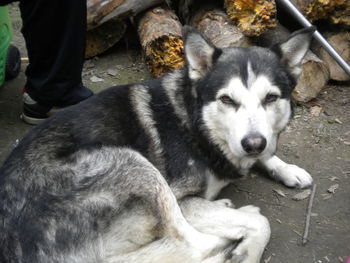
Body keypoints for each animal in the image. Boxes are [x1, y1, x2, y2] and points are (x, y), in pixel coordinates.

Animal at [1, 27, 314, 263]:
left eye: (271, 98)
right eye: (227, 99)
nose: (253, 144)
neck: (196, 124)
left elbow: (267, 152)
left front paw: (287, 168)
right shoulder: (181, 195)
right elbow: (262, 224)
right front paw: (249, 251)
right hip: (136, 166)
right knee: (193, 244)